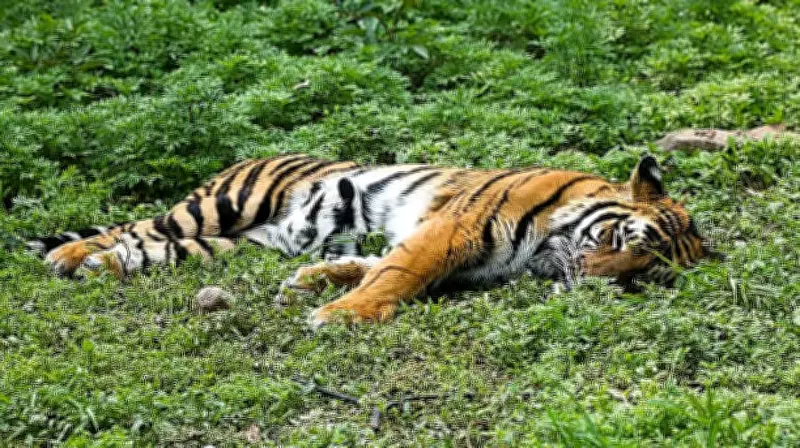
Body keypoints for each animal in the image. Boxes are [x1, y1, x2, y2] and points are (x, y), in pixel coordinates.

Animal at [27, 154, 712, 327]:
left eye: (640, 276)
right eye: (622, 238)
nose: (594, 282)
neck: (547, 252)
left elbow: (371, 261)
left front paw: (314, 285)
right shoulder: (454, 229)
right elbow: (397, 273)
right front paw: (339, 315)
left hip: (232, 244)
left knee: (145, 248)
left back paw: (97, 268)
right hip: (220, 207)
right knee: (134, 226)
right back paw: (65, 256)